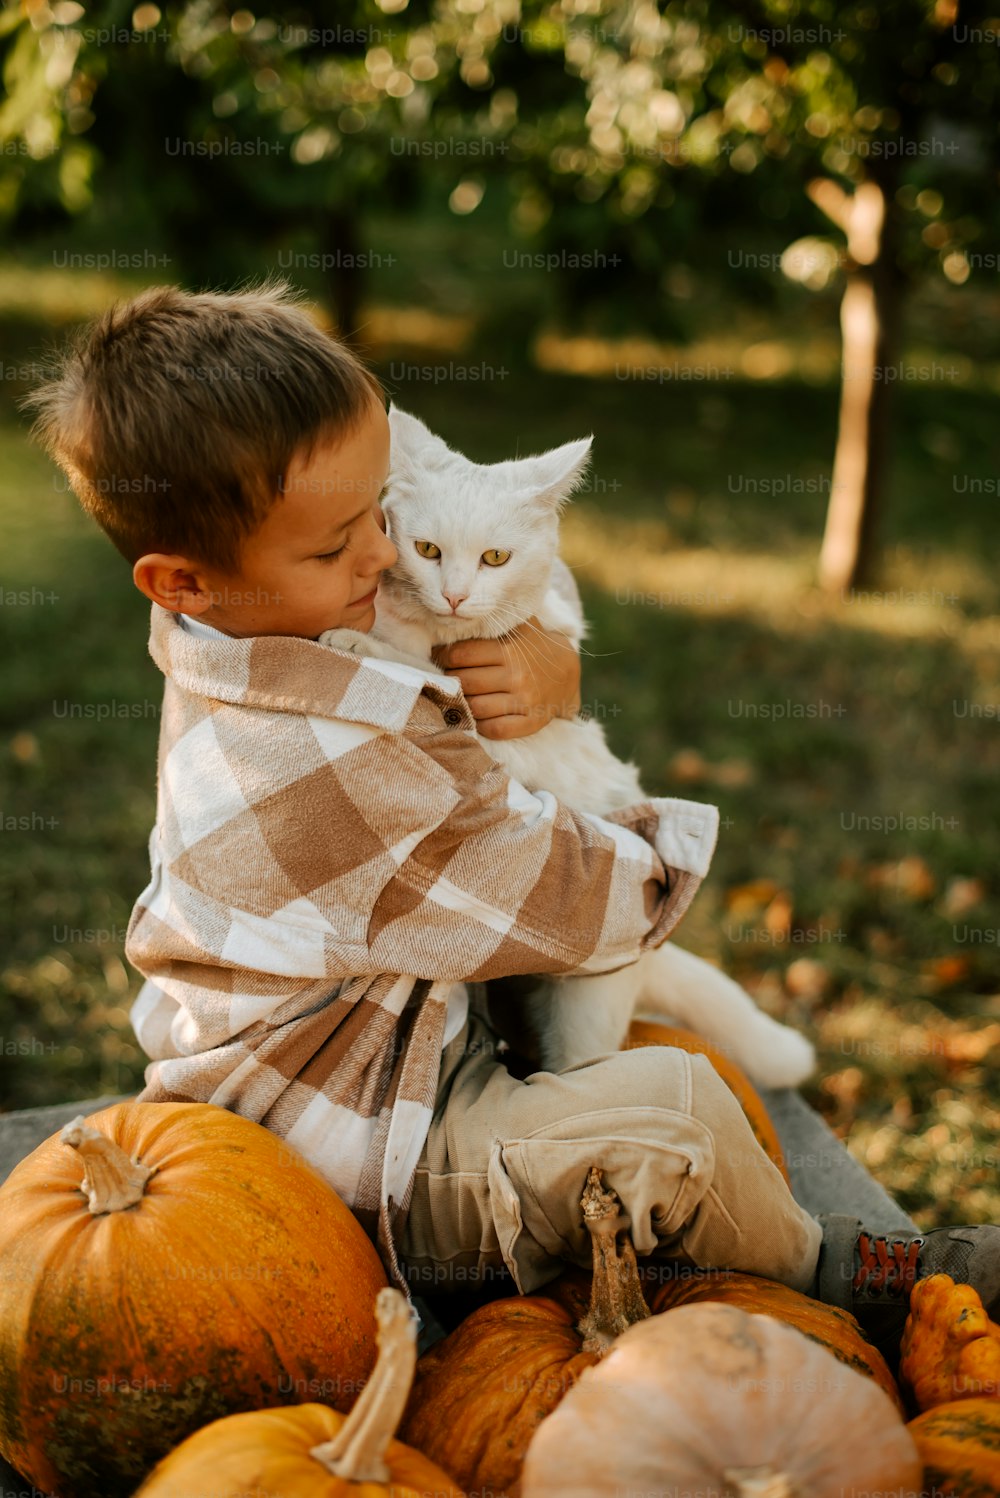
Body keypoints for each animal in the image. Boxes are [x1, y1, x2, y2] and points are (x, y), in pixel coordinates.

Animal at [324, 410, 814, 1090]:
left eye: (495, 557)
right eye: (427, 551)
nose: (454, 595)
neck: (438, 635)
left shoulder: (492, 738)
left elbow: (435, 680)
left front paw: (356, 642)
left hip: (583, 1019)